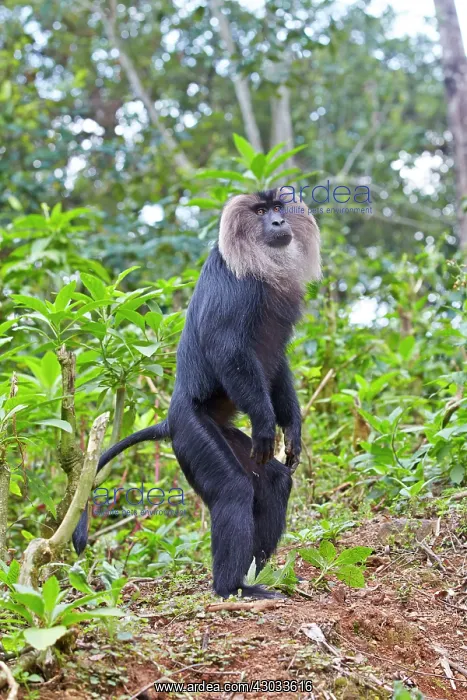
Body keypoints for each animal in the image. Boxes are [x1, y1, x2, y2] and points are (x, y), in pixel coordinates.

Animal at [72, 189, 321, 599]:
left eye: (277, 209)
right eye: (260, 211)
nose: (279, 222)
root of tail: (171, 418)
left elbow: (277, 365)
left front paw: (292, 431)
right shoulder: (237, 288)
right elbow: (227, 350)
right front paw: (268, 423)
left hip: (223, 434)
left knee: (273, 482)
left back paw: (257, 574)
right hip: (193, 432)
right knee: (233, 490)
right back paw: (232, 588)